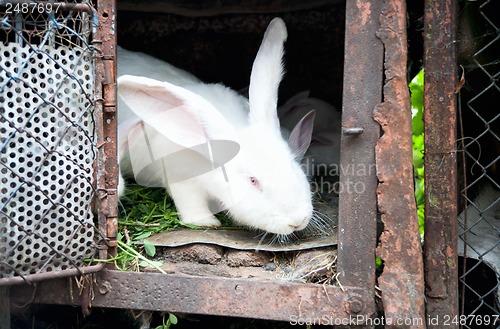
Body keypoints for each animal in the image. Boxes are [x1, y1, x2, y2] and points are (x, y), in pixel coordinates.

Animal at [115, 18, 314, 234]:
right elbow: (191, 203)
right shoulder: (182, 179)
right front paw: (206, 222)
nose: (297, 221)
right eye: (253, 181)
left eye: (293, 164)